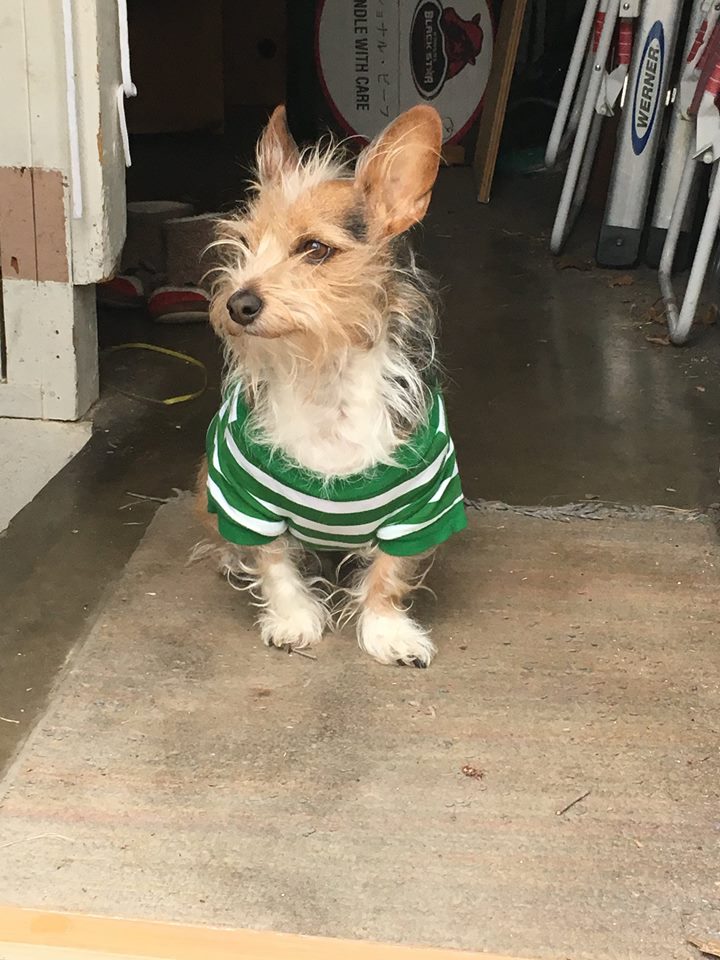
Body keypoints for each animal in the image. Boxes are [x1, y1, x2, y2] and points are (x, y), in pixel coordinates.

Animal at [197, 101, 466, 664]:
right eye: (244, 244)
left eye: (316, 249)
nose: (237, 303)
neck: (323, 377)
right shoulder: (245, 497)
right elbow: (274, 562)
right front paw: (294, 619)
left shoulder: (421, 507)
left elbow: (388, 573)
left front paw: (388, 630)